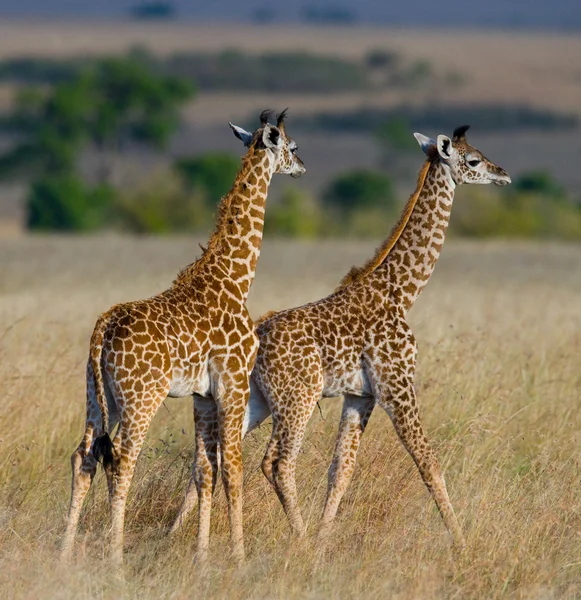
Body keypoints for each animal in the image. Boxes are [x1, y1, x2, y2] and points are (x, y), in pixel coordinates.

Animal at [60, 110, 306, 564]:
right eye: (292, 146)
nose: (301, 167)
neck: (236, 279)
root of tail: (103, 327)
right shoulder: (234, 384)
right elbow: (232, 468)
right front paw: (237, 558)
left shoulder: (203, 396)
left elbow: (205, 469)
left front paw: (202, 557)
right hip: (141, 397)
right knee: (121, 461)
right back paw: (116, 560)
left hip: (98, 396)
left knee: (83, 456)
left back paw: (64, 555)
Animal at [174, 124, 510, 548]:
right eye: (474, 160)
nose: (503, 174)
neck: (401, 291)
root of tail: (253, 340)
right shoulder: (396, 386)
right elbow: (429, 464)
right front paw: (462, 545)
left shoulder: (359, 396)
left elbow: (341, 471)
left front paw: (323, 543)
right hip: (297, 399)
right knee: (277, 462)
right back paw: (296, 541)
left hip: (252, 400)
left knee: (210, 458)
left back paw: (174, 534)